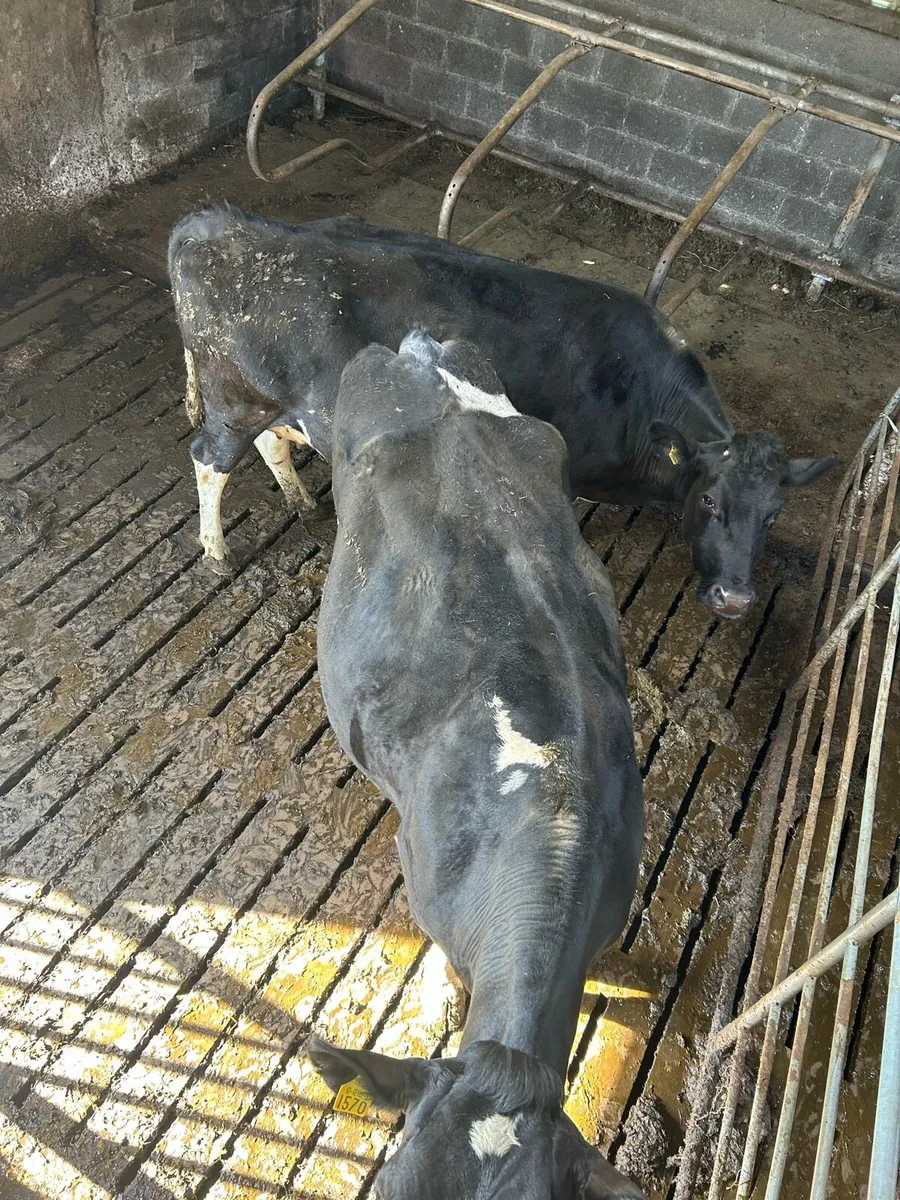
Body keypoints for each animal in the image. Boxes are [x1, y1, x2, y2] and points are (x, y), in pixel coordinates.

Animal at [168, 205, 838, 619]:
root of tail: (223, 225)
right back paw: (217, 552)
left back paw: (303, 502)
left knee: (270, 442)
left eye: (774, 514)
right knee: (209, 459)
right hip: (235, 401)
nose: (735, 600)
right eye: (709, 500)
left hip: (271, 401)